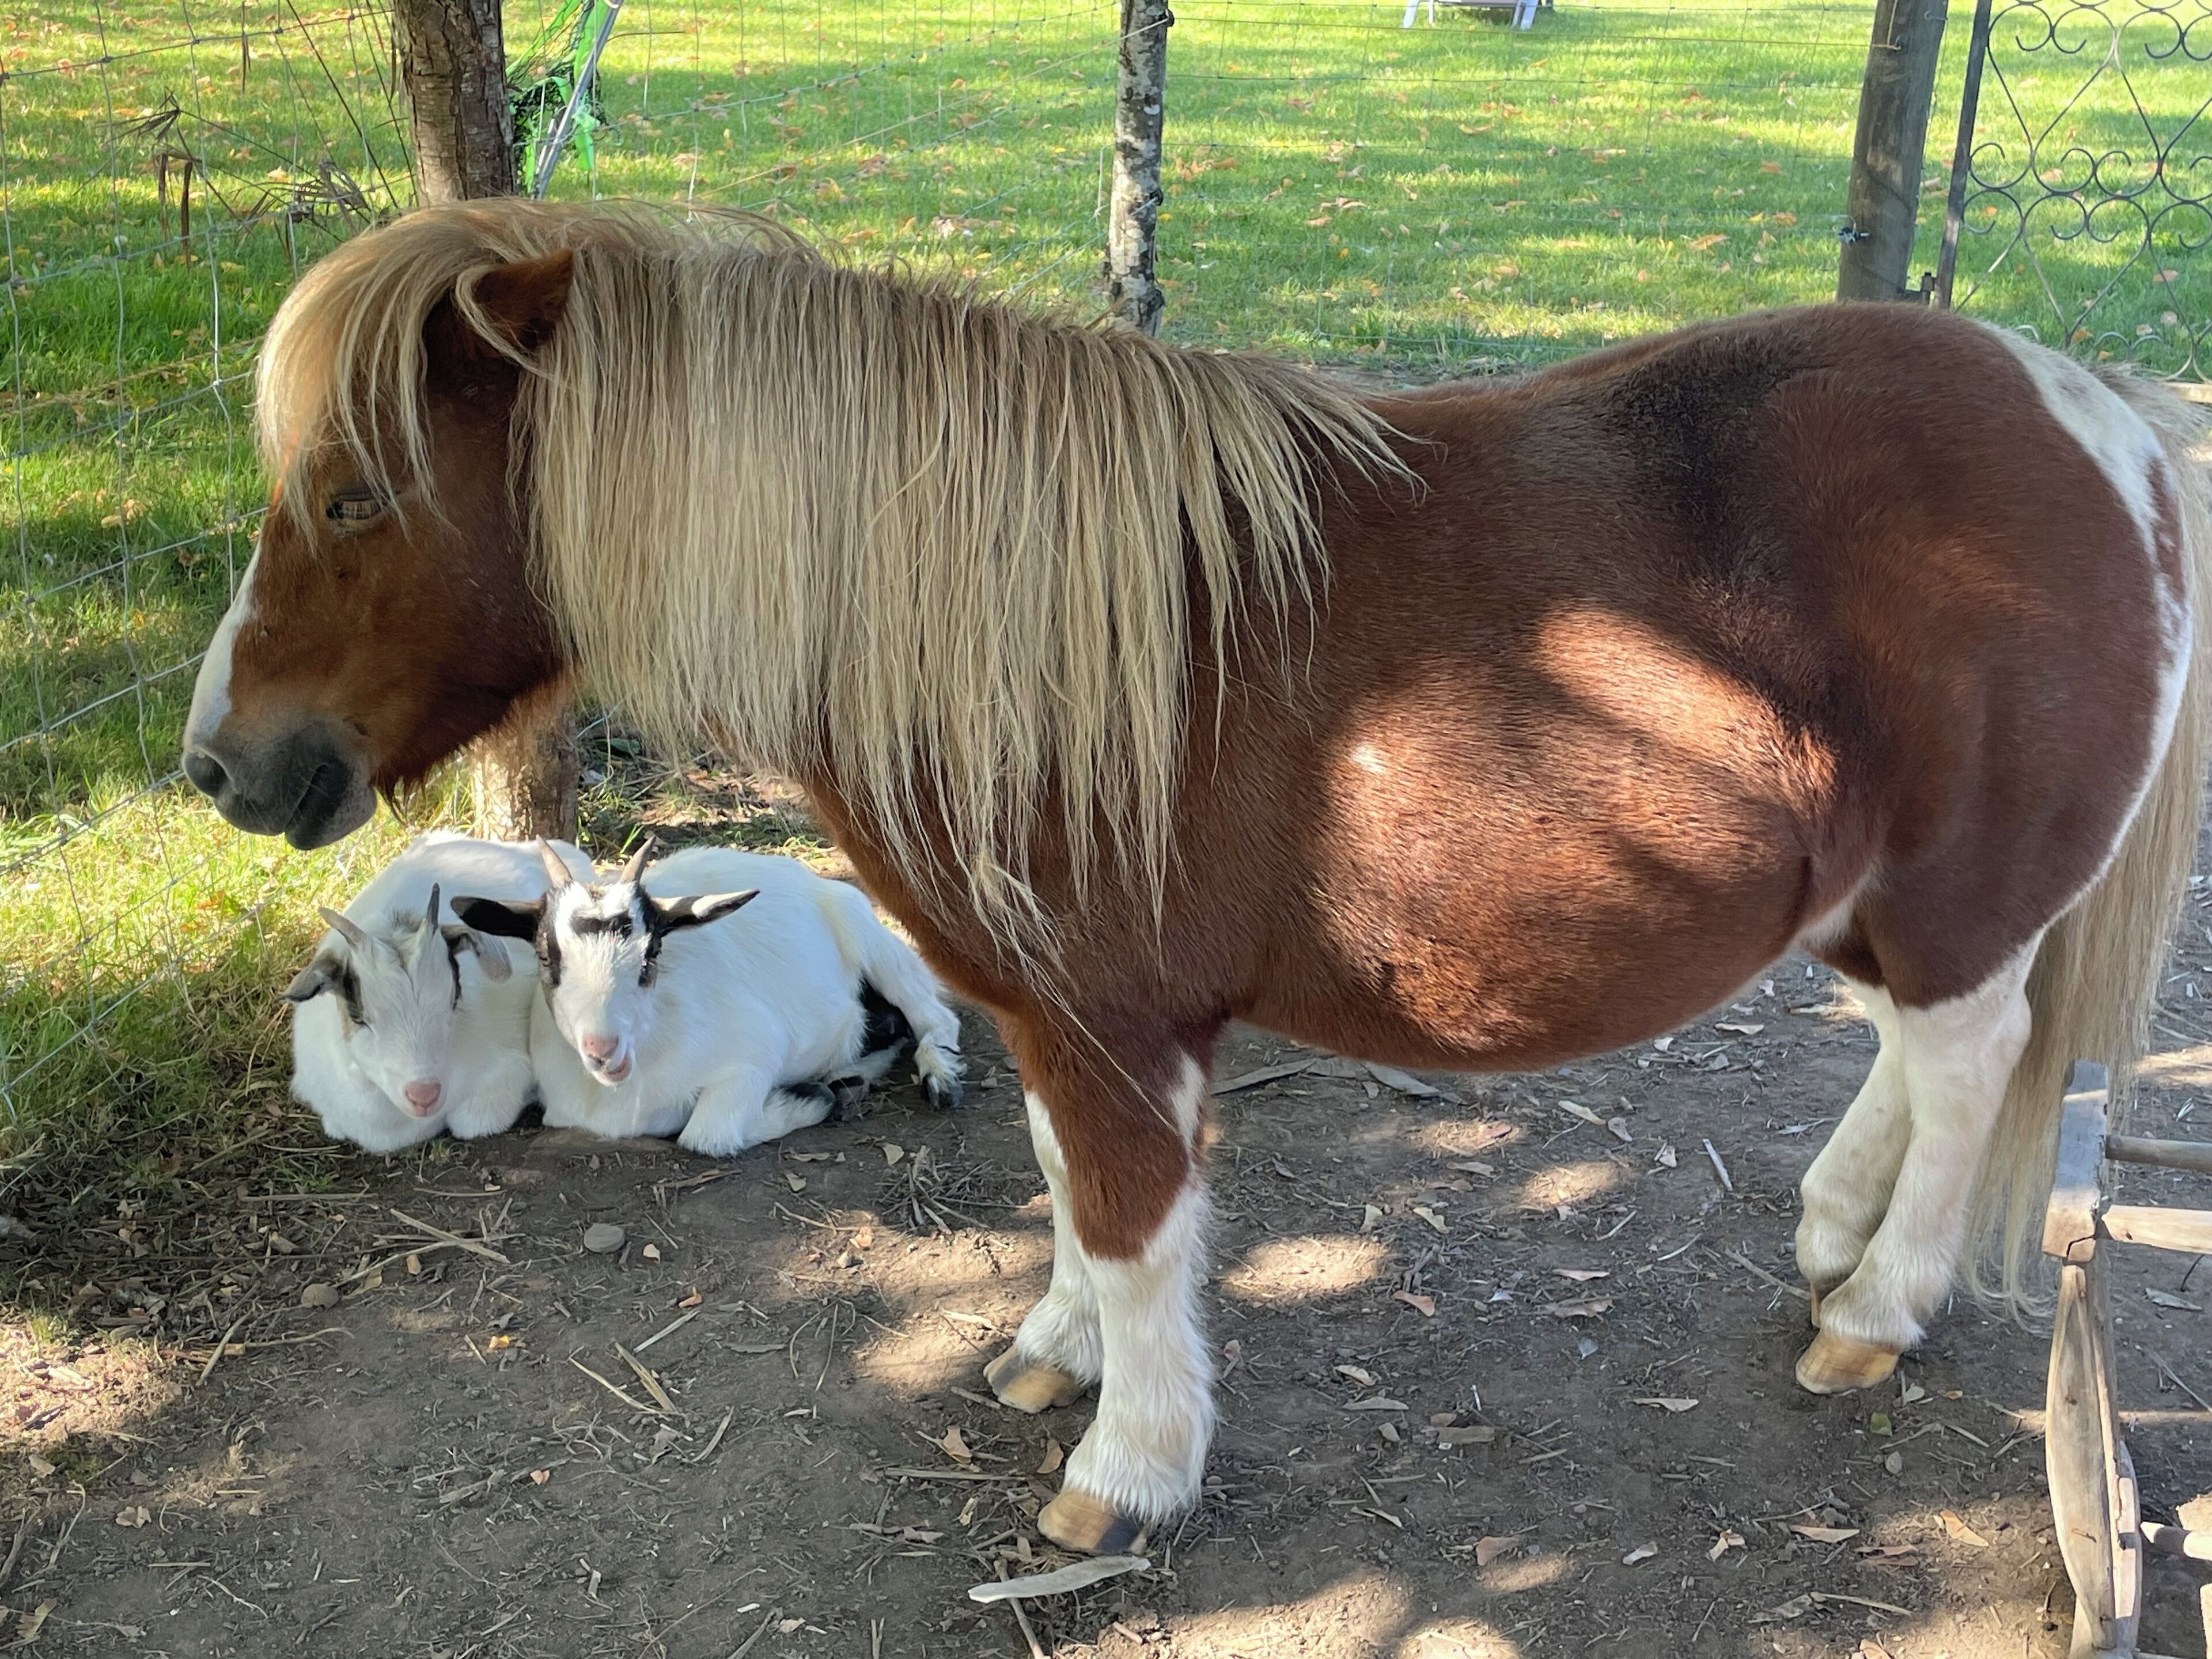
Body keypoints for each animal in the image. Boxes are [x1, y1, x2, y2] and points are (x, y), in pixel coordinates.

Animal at [455, 840, 963, 1155]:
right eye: (546, 956)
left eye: (651, 954)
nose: (603, 1050)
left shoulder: (755, 1052)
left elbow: (706, 1135)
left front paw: (805, 1099)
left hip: (875, 944)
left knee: (934, 1018)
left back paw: (938, 1079)